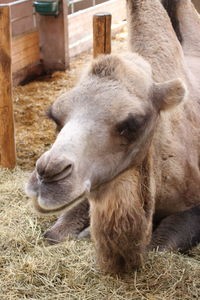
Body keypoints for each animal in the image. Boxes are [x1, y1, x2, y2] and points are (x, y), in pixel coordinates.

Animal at [25, 0, 200, 274]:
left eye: (132, 123)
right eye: (55, 116)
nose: (47, 175)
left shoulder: (194, 206)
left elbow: (159, 246)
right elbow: (54, 234)